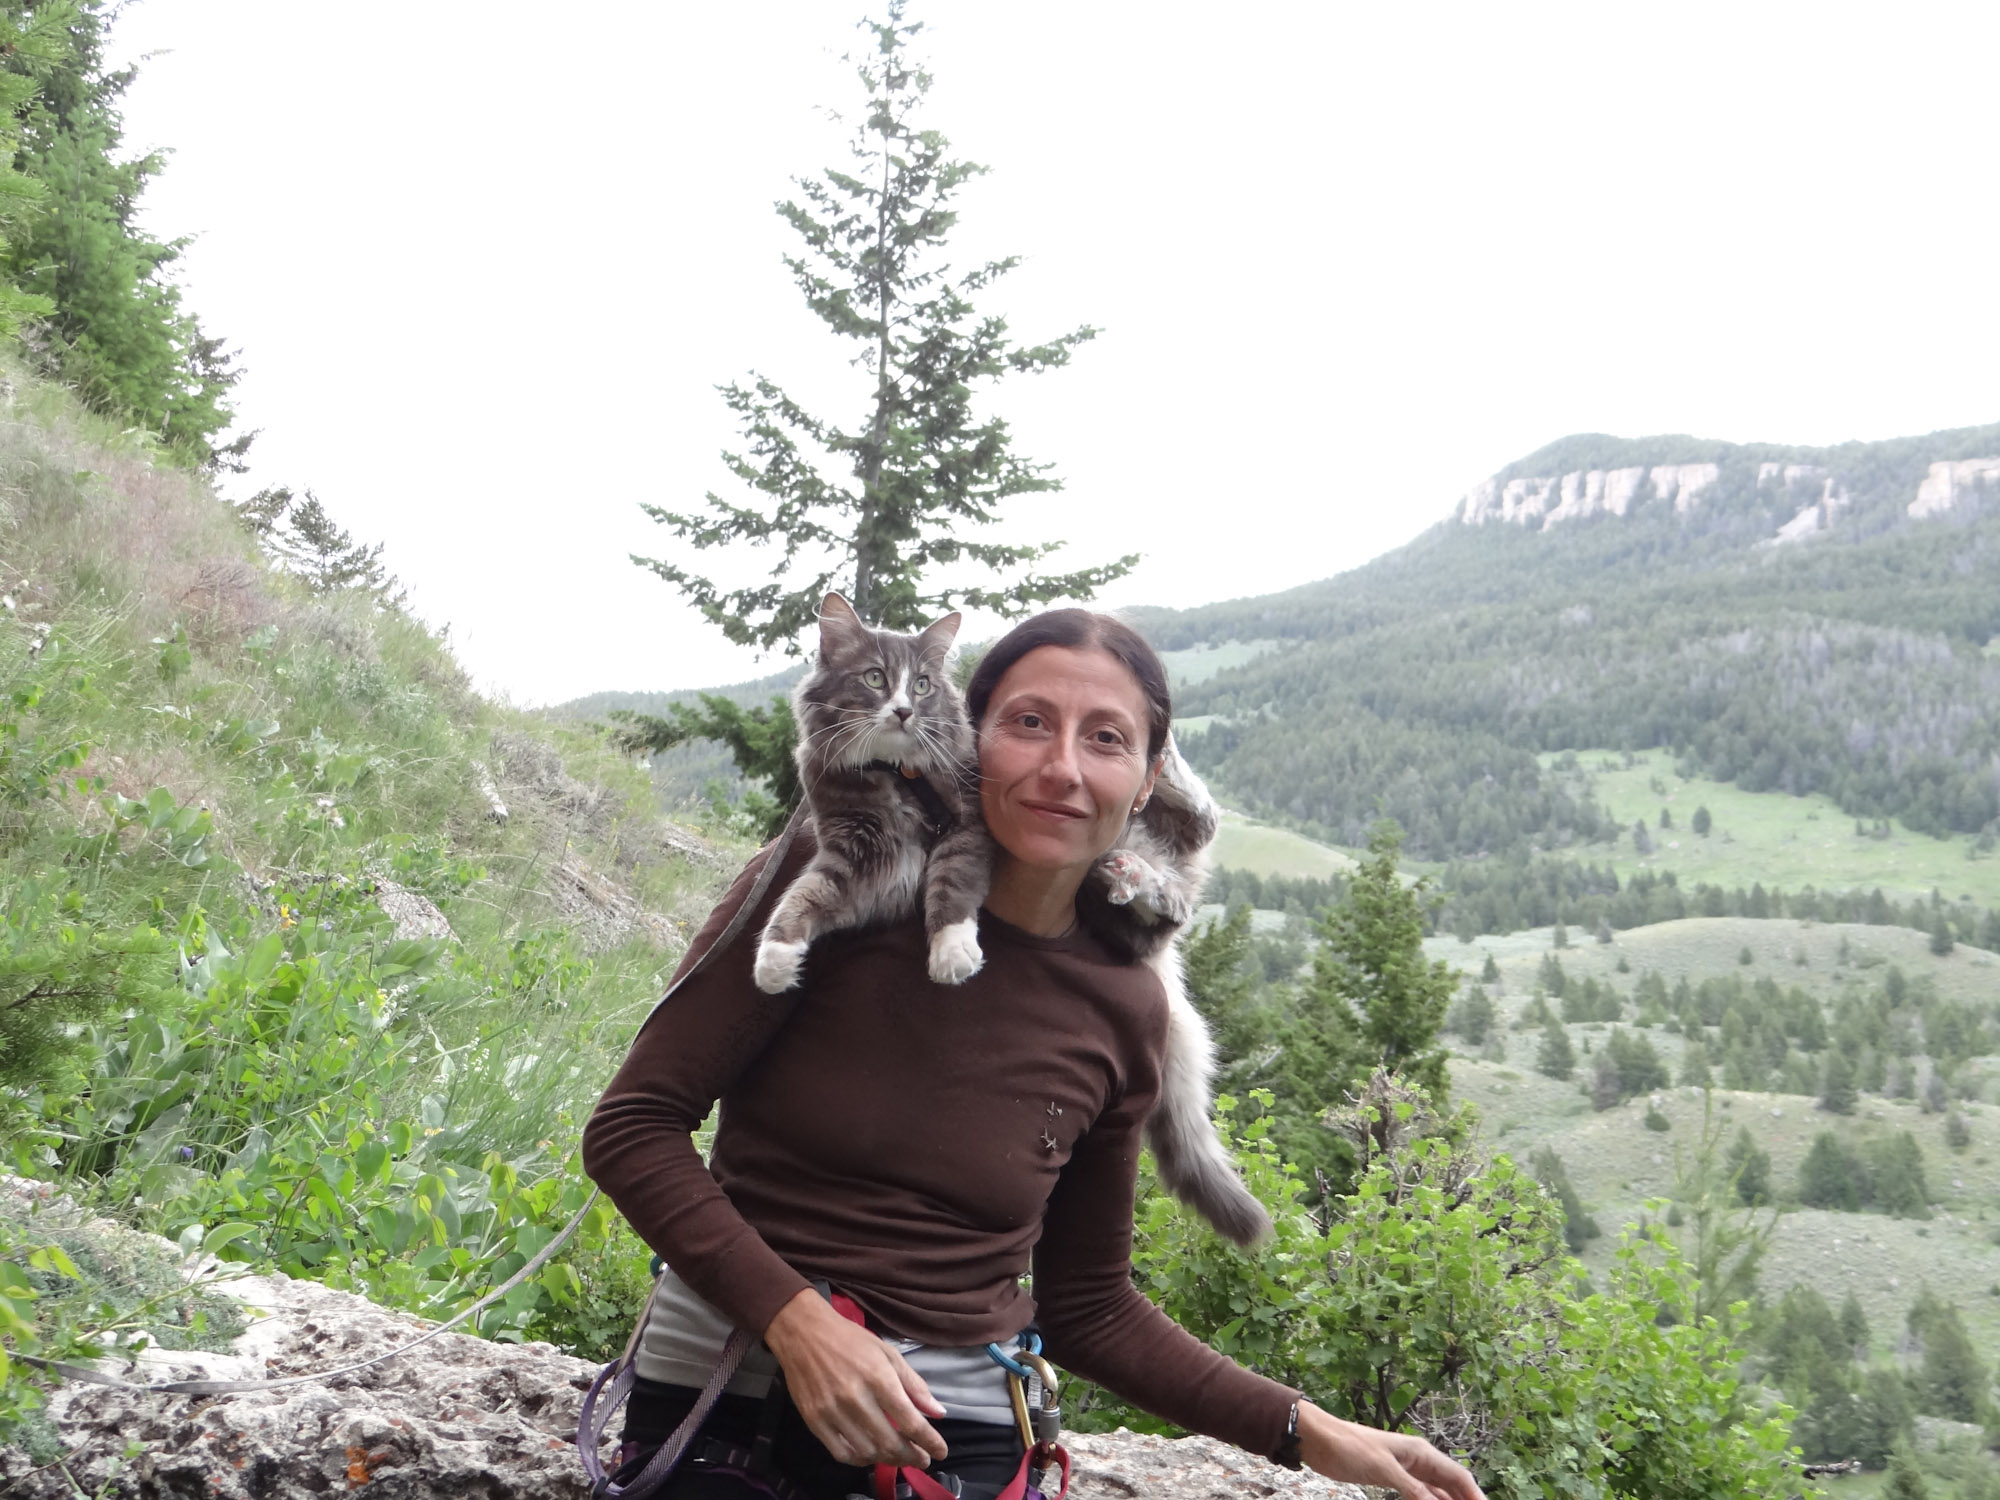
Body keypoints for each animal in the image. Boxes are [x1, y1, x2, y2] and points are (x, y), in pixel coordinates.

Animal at [744, 592, 1272, 1248]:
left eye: (921, 685)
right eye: (874, 679)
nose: (903, 710)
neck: (897, 775)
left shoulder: (967, 825)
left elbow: (949, 890)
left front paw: (950, 953)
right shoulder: (859, 854)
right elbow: (801, 897)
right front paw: (774, 961)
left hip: (1160, 833)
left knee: (1198, 826)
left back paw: (1155, 806)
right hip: (1114, 908)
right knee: (1163, 906)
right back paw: (1125, 878)